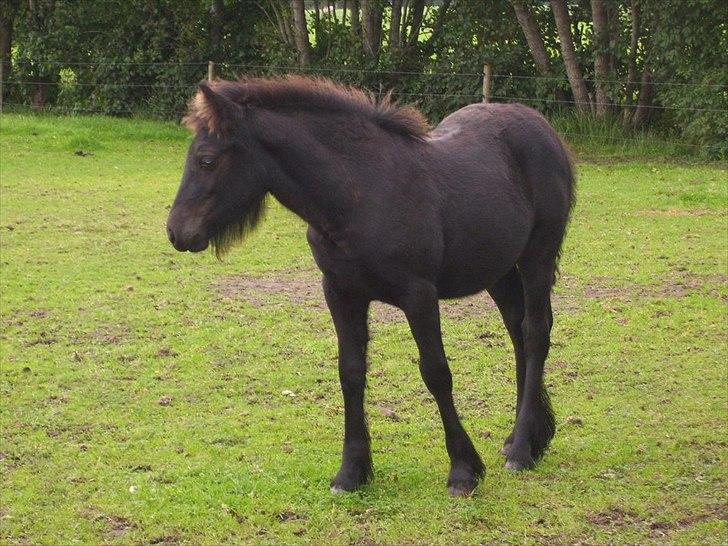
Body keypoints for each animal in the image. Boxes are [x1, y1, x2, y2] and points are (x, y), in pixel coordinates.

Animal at [166, 76, 575, 496]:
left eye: (207, 159)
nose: (176, 231)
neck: (361, 193)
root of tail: (543, 128)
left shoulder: (419, 294)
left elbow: (436, 372)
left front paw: (463, 470)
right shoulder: (341, 293)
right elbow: (350, 372)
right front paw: (351, 471)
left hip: (538, 254)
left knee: (535, 333)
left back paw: (523, 449)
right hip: (498, 269)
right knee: (516, 331)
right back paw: (527, 436)